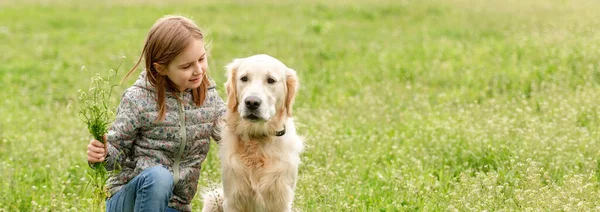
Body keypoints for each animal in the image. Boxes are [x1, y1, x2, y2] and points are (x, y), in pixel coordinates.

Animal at [203, 53, 304, 211]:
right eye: (244, 78)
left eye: (271, 80)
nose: (252, 102)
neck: (257, 140)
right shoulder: (233, 199)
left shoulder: (281, 200)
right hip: (214, 199)